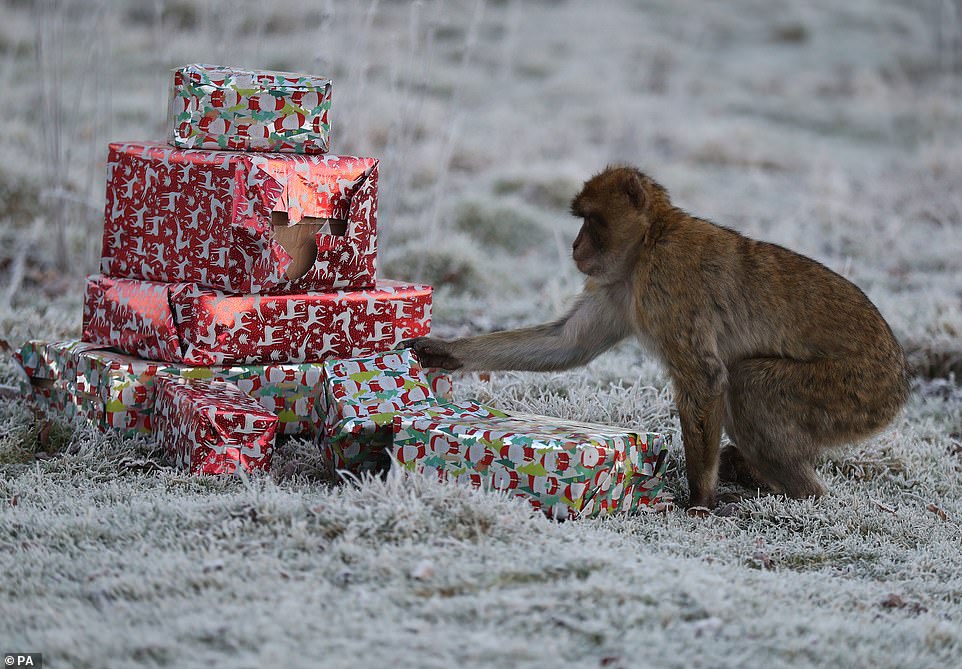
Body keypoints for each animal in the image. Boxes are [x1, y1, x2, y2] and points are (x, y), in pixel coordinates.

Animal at [404, 164, 908, 508]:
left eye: (591, 220)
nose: (575, 246)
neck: (648, 243)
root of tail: (900, 381)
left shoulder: (665, 282)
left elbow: (705, 376)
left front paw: (701, 500)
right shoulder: (618, 288)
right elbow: (568, 345)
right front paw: (444, 351)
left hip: (856, 392)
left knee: (750, 385)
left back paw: (803, 495)